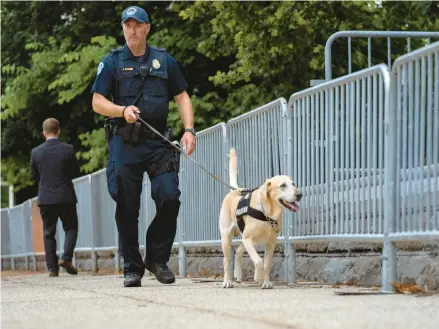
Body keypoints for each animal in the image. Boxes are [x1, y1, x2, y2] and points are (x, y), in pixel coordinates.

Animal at [220, 147, 302, 288]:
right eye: (283, 185)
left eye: (293, 184)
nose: (299, 194)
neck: (267, 214)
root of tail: (234, 190)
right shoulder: (248, 239)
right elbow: (258, 261)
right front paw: (259, 277)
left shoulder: (270, 243)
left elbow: (267, 264)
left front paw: (266, 282)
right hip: (227, 238)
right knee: (226, 260)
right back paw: (227, 281)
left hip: (246, 238)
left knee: (238, 251)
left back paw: (238, 274)